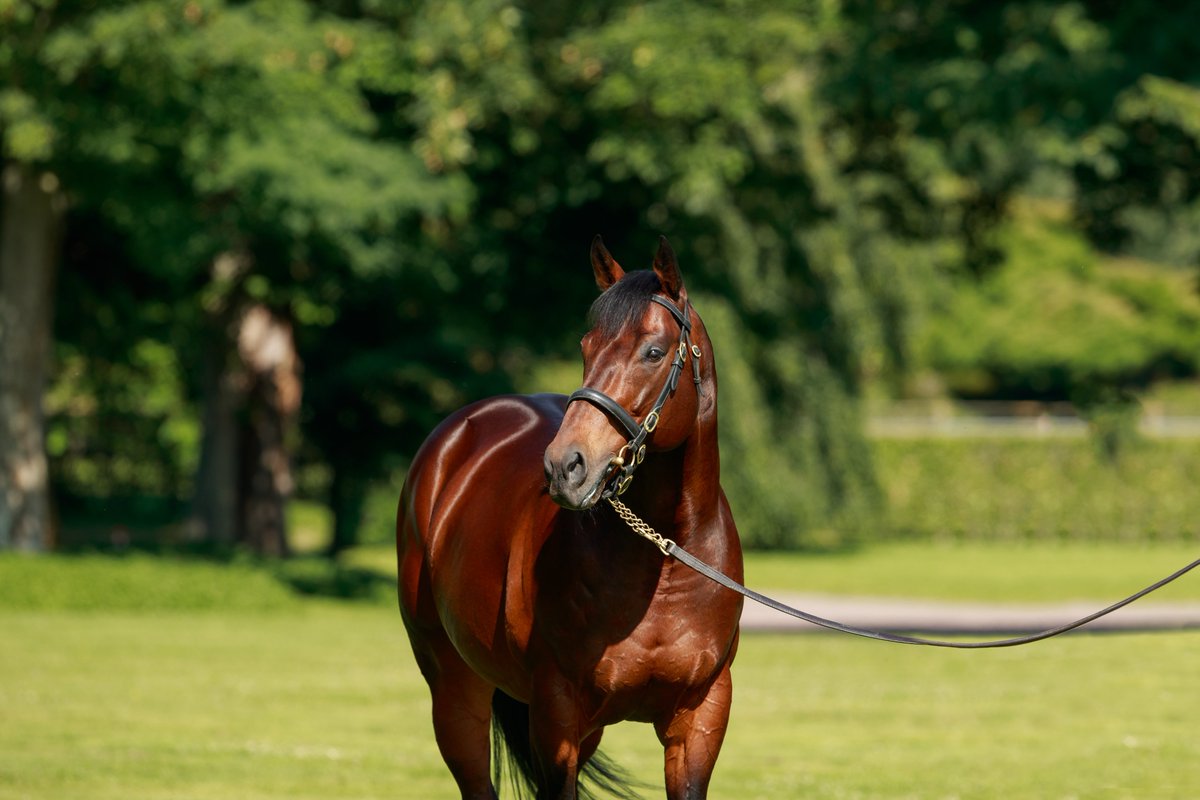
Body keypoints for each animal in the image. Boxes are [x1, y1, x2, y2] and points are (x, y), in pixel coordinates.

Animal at [398, 237, 744, 800]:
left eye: (653, 352)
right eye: (585, 347)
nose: (565, 466)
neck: (665, 562)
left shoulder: (701, 716)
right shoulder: (556, 714)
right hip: (454, 691)